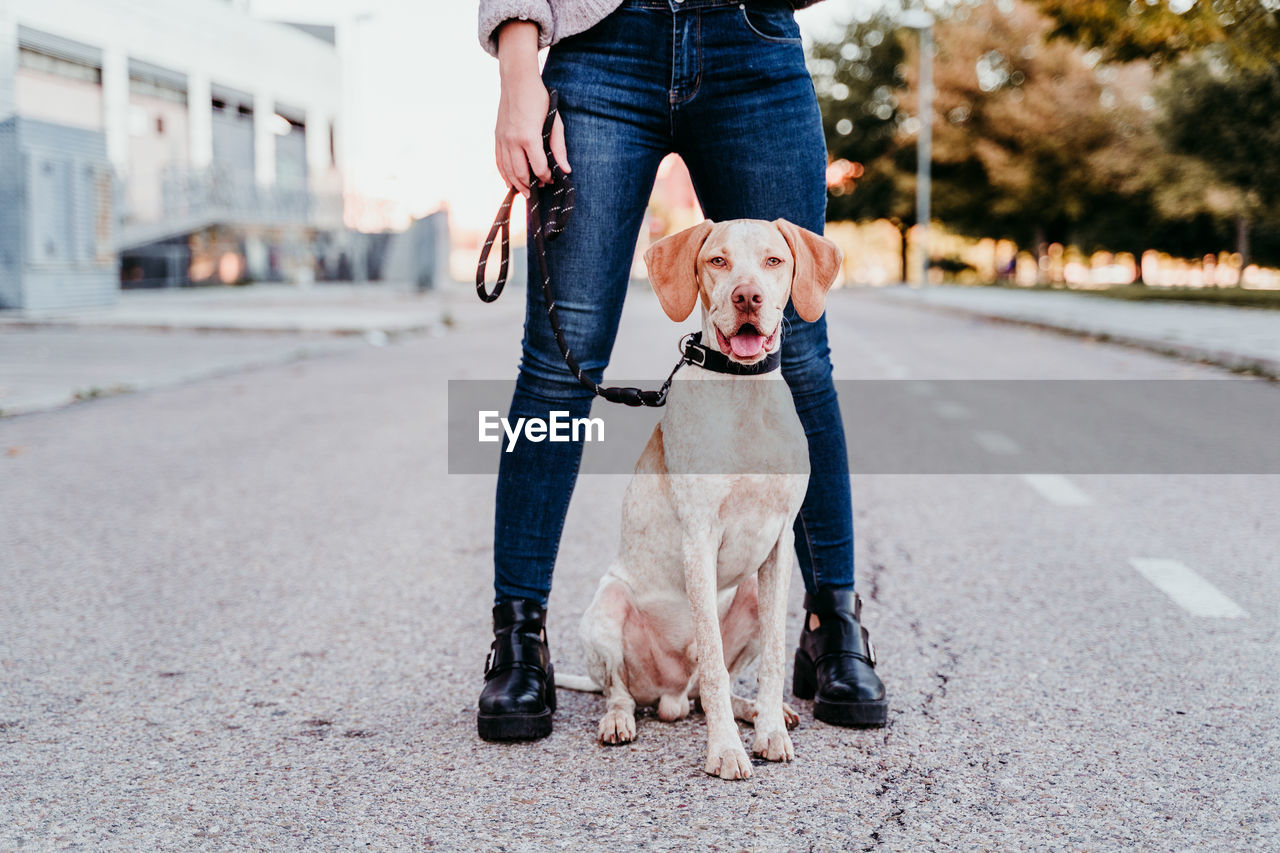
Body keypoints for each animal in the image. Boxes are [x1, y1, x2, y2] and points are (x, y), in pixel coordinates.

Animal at [558, 217, 839, 778]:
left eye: (774, 261)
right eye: (718, 261)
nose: (748, 297)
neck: (743, 394)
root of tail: (670, 697)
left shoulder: (780, 545)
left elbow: (772, 657)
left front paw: (769, 731)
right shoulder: (699, 540)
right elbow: (711, 661)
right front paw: (725, 750)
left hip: (748, 593)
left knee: (718, 690)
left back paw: (756, 711)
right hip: (607, 606)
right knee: (621, 691)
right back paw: (619, 720)